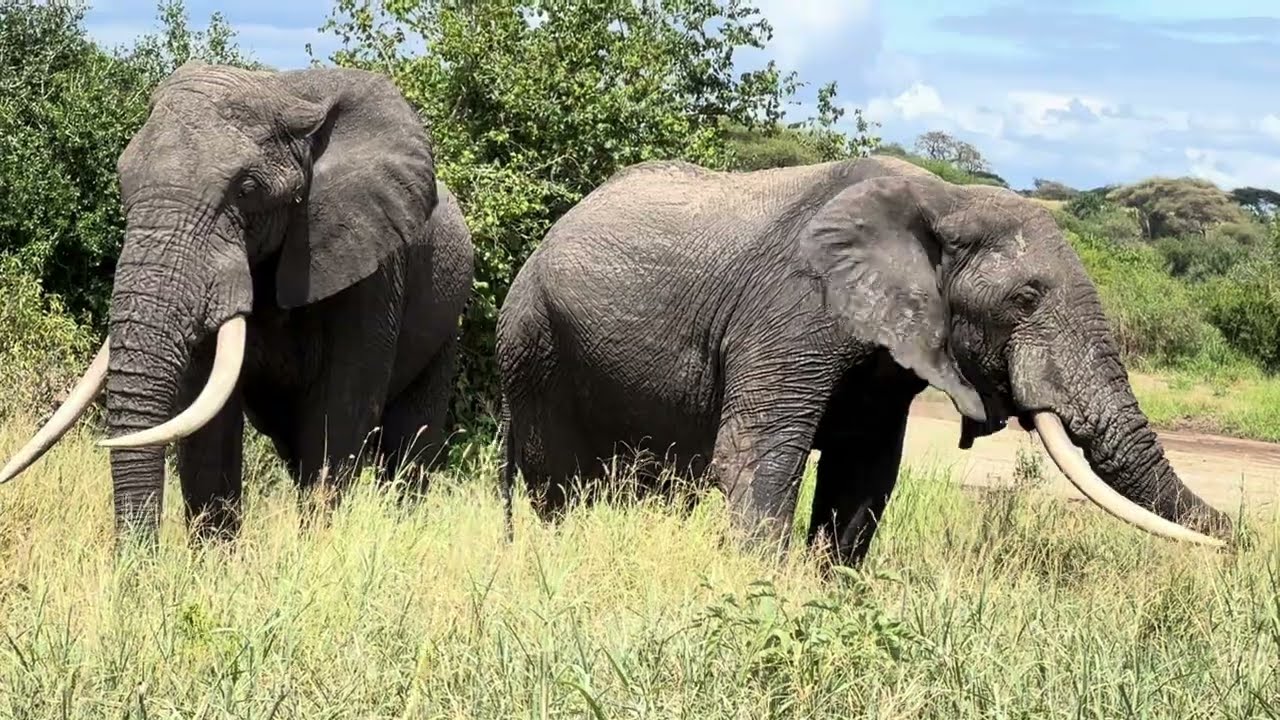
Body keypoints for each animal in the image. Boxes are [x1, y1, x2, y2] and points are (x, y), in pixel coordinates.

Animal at [0, 62, 475, 542]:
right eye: (122, 180)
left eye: (246, 189)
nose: (137, 558)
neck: (291, 96)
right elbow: (207, 428)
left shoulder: (372, 266)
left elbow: (340, 413)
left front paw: (314, 550)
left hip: (444, 326)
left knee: (409, 449)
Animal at [495, 154, 1233, 567]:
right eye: (1025, 298)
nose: (1241, 535)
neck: (945, 200)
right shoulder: (792, 308)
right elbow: (755, 460)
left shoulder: (888, 359)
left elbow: (863, 474)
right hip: (535, 346)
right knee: (554, 481)